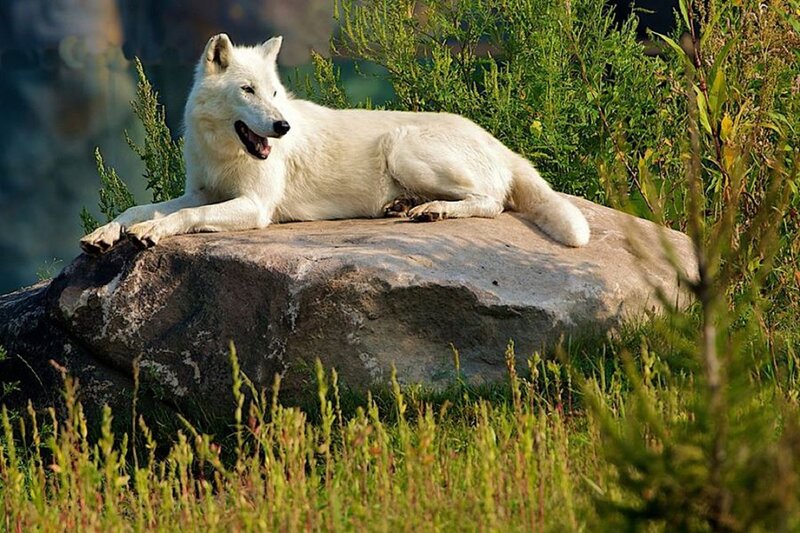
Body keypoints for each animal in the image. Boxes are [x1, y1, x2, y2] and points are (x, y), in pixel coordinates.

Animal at [80, 34, 590, 254]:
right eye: (248, 90)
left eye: (275, 93)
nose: (283, 127)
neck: (224, 152)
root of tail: (500, 143)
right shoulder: (202, 192)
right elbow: (138, 208)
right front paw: (105, 233)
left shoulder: (253, 207)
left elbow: (180, 218)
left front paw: (151, 233)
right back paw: (404, 207)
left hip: (405, 148)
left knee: (492, 202)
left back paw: (433, 211)